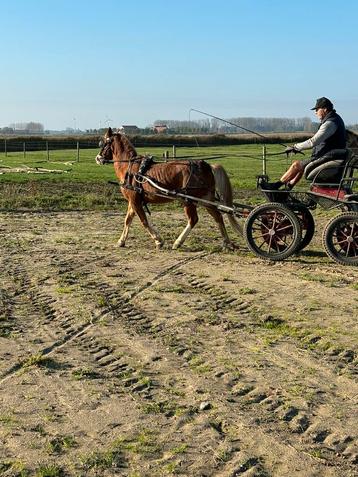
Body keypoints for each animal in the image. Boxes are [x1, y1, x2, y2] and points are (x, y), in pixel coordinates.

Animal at [96, 130, 243, 249]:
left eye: (105, 142)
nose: (98, 158)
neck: (131, 169)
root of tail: (206, 165)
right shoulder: (133, 201)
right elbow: (127, 220)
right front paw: (121, 241)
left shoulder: (135, 201)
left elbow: (144, 221)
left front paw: (158, 241)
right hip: (205, 199)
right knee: (218, 216)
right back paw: (227, 242)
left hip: (188, 200)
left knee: (193, 219)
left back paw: (178, 242)